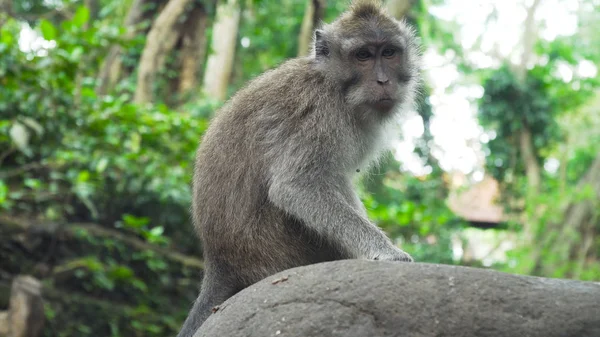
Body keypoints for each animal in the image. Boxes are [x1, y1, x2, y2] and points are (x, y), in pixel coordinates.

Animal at [178, 1, 420, 334]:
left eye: (389, 53)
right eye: (363, 55)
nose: (384, 81)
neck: (334, 86)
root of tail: (218, 259)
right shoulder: (319, 115)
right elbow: (296, 187)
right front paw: (387, 253)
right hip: (274, 247)